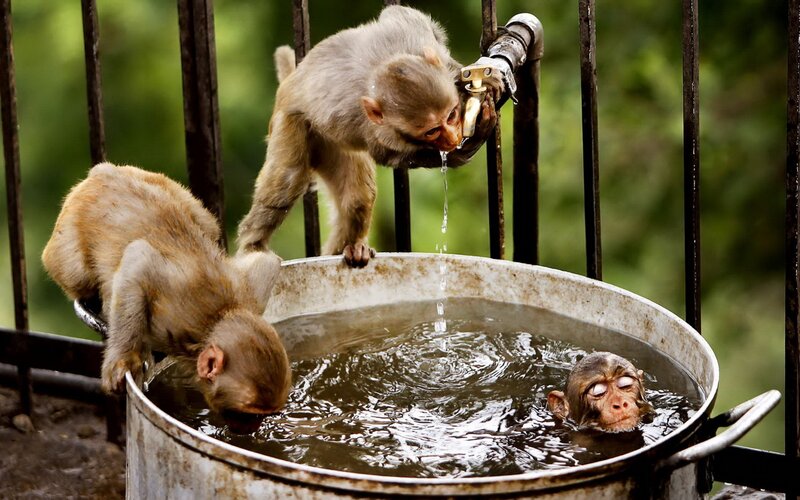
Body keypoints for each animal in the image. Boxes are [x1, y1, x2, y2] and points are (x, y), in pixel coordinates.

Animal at [42, 163, 292, 415]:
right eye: (249, 413)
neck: (215, 319)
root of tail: (104, 172)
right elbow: (139, 258)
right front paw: (122, 359)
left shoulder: (249, 295)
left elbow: (267, 261)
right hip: (68, 236)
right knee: (78, 275)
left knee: (207, 224)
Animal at [237, 5, 501, 267]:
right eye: (432, 131)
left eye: (452, 115)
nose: (453, 138)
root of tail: (289, 83)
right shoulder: (378, 132)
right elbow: (390, 155)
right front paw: (466, 146)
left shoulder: (414, 34)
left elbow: (401, 14)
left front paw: (472, 80)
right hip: (292, 124)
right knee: (287, 180)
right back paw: (253, 246)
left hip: (329, 145)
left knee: (357, 199)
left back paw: (351, 248)